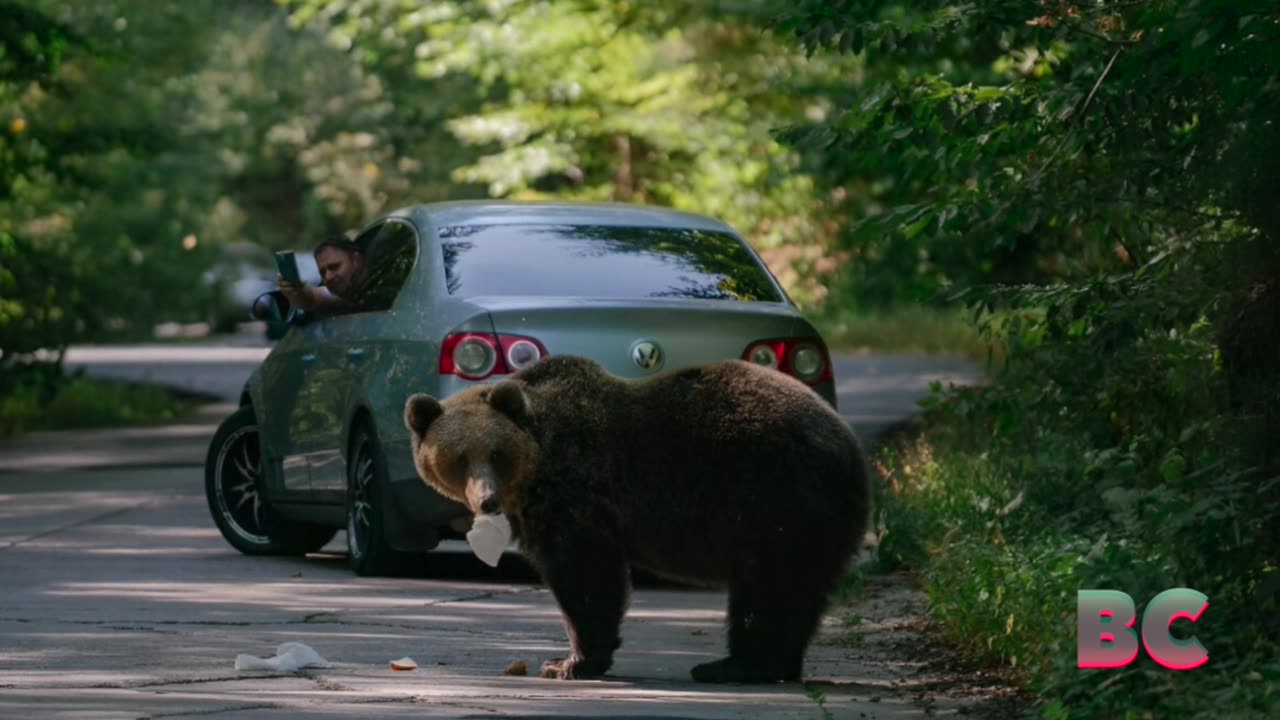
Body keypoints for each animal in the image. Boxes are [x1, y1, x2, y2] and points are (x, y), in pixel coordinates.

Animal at [404, 356, 875, 681]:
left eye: (496, 454)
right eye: (459, 458)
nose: (487, 501)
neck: (536, 471)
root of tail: (850, 444)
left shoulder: (576, 496)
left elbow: (585, 575)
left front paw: (567, 662)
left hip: (779, 497)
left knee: (770, 587)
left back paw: (736, 665)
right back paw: (763, 663)